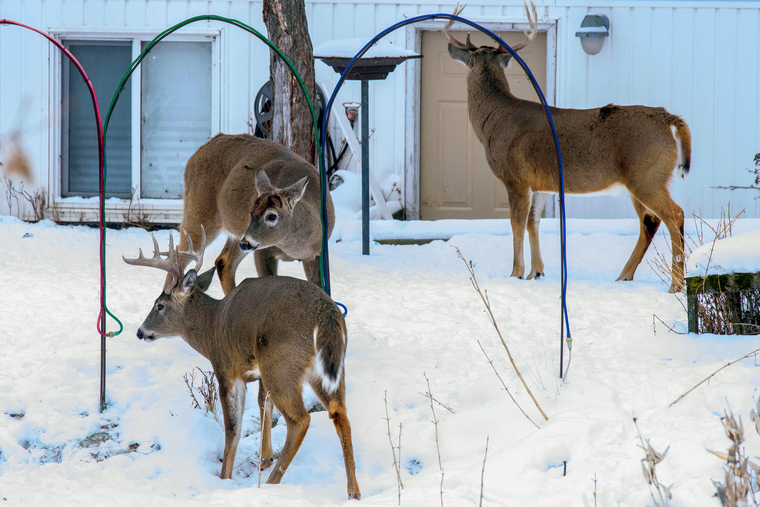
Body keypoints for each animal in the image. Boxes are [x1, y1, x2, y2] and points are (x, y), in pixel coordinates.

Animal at [124, 228, 360, 500]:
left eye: (159, 305)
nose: (141, 331)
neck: (211, 327)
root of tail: (326, 316)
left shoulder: (227, 368)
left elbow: (233, 428)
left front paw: (224, 477)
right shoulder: (258, 371)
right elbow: (263, 405)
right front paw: (264, 457)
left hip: (281, 364)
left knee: (300, 419)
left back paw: (271, 483)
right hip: (328, 367)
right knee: (339, 412)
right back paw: (353, 491)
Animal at [170, 133, 334, 295]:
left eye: (272, 216)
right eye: (251, 212)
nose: (246, 243)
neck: (296, 249)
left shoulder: (318, 255)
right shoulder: (262, 251)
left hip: (236, 233)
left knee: (224, 263)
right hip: (198, 214)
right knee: (177, 258)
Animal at [444, 2, 692, 293]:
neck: (495, 120)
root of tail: (668, 119)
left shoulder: (515, 176)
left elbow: (516, 223)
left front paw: (516, 273)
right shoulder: (539, 181)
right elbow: (533, 222)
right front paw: (536, 272)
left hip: (646, 175)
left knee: (675, 214)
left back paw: (675, 285)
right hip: (647, 177)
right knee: (650, 221)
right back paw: (624, 277)